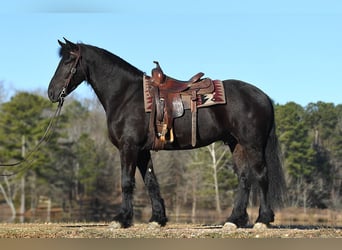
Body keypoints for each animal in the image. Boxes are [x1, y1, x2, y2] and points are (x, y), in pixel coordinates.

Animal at [46, 38, 284, 229]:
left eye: (67, 62)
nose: (52, 93)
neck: (126, 95)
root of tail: (262, 95)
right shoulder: (142, 151)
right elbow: (151, 181)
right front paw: (157, 219)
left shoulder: (129, 147)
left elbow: (126, 182)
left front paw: (121, 219)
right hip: (236, 144)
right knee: (244, 178)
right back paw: (234, 220)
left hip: (252, 144)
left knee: (261, 176)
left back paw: (263, 220)